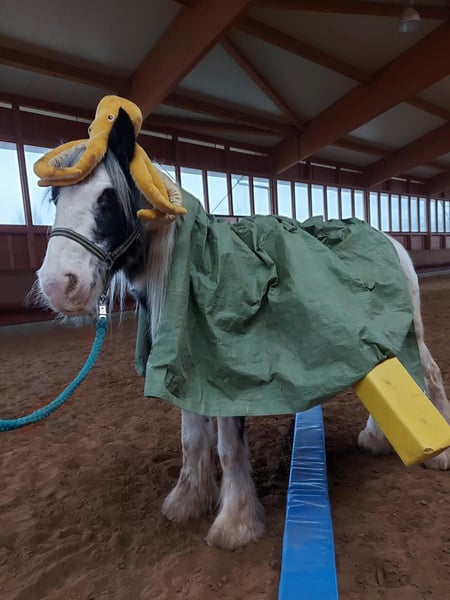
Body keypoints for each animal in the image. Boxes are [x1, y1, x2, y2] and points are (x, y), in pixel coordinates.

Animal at [35, 113, 450, 551]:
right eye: (56, 199)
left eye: (109, 197)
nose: (58, 285)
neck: (196, 269)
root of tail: (390, 240)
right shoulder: (186, 370)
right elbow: (192, 437)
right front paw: (188, 500)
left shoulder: (228, 376)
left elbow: (228, 446)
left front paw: (235, 524)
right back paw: (375, 439)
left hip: (411, 331)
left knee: (430, 374)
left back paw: (438, 456)